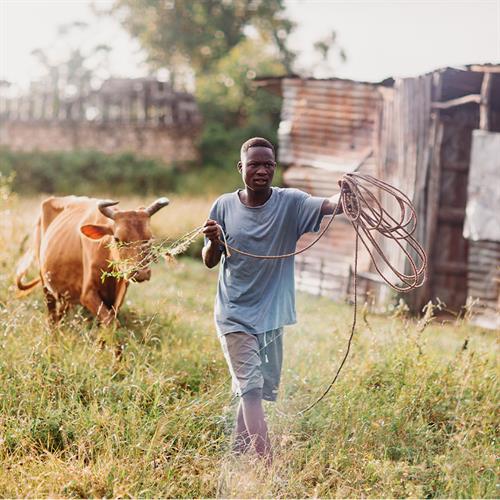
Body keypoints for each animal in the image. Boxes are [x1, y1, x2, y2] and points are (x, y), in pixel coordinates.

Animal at [15, 197, 169, 326]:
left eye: (149, 239)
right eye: (117, 239)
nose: (141, 273)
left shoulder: (118, 297)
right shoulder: (88, 294)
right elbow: (110, 322)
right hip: (46, 285)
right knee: (52, 318)